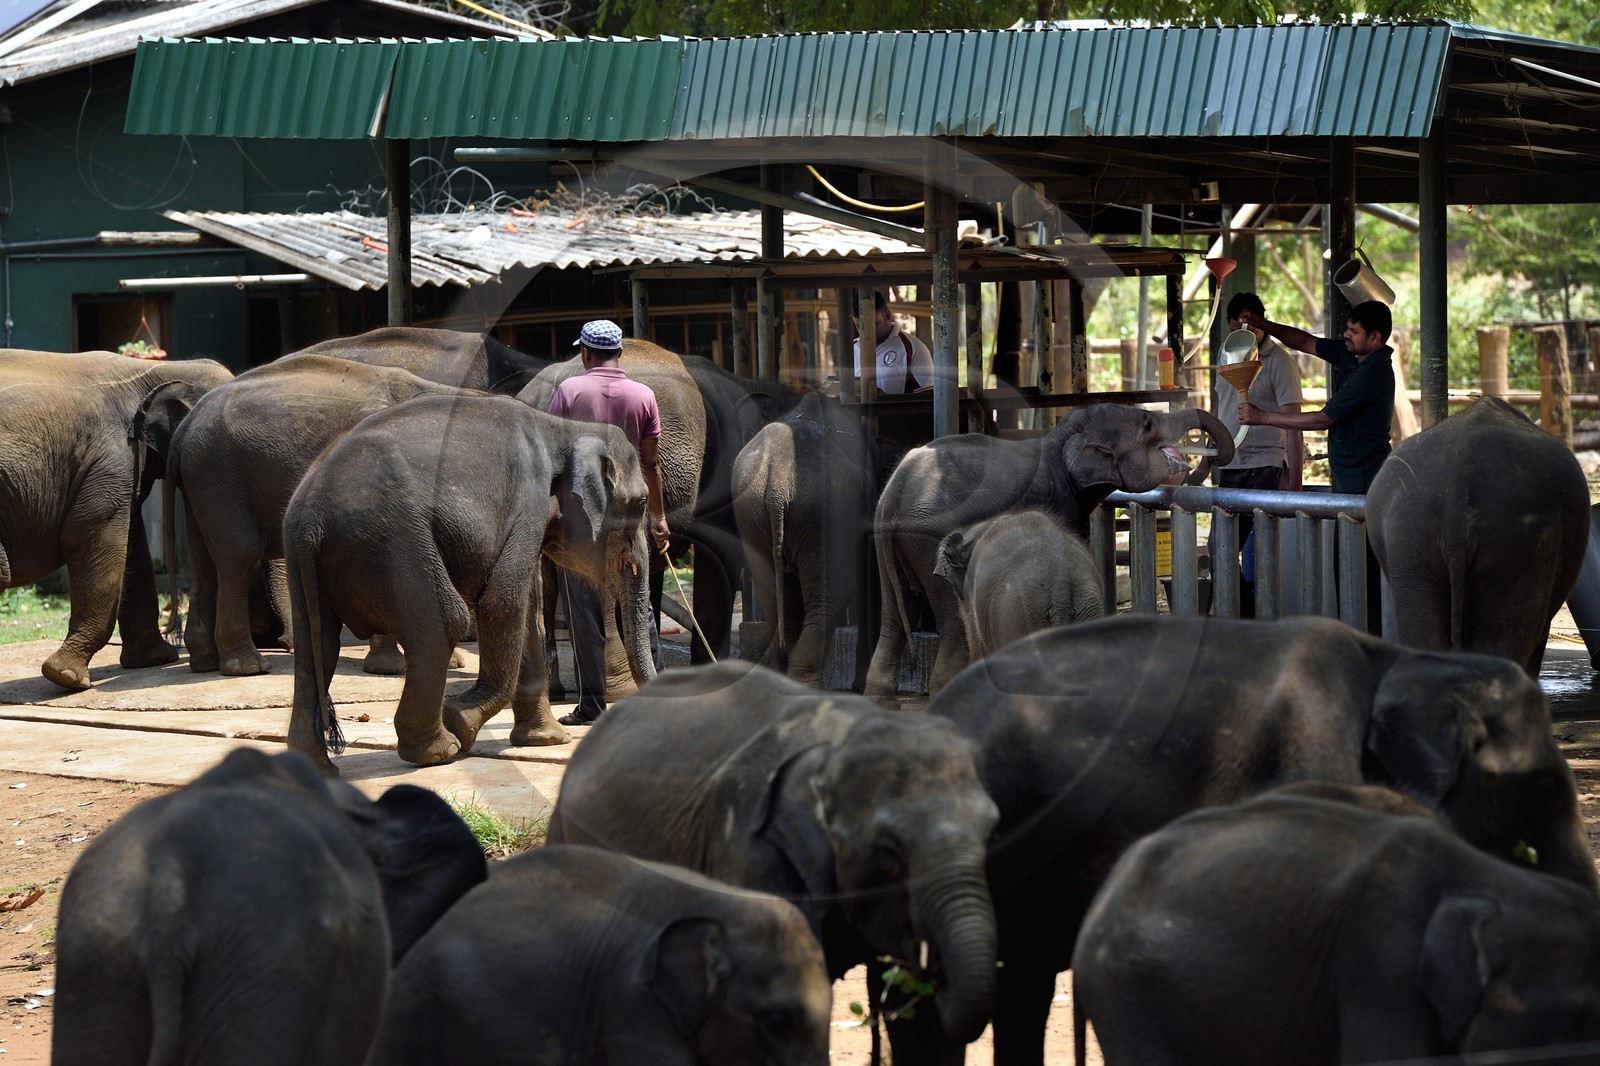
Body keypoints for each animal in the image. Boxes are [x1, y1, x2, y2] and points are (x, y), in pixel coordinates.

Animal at [0, 349, 233, 690]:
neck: (157, 370)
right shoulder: (111, 454)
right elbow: (95, 538)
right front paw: (66, 676)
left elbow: (133, 547)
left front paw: (154, 660)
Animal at [160, 353, 481, 676]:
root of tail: (185, 426)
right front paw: (389, 668)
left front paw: (450, 662)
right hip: (219, 477)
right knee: (239, 556)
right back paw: (248, 667)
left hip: (200, 479)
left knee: (204, 565)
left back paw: (205, 663)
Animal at [284, 393, 657, 770]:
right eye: (641, 503)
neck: (562, 427)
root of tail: (312, 514)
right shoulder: (528, 502)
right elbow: (503, 604)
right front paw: (461, 723)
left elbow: (526, 612)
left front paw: (546, 740)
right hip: (393, 541)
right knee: (445, 624)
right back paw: (439, 750)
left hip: (306, 558)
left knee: (317, 644)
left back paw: (314, 763)